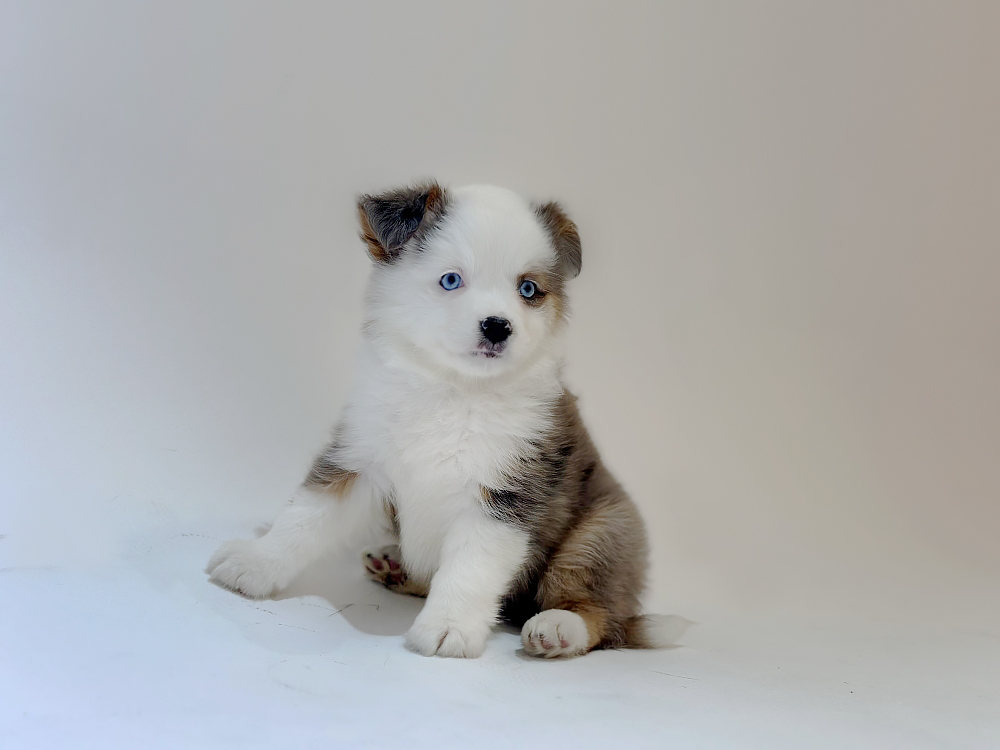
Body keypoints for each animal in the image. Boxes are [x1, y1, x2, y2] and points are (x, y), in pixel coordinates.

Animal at [208, 182, 653, 658]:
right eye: (451, 280)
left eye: (529, 289)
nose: (498, 326)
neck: (452, 389)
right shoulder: (359, 457)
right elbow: (304, 516)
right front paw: (255, 562)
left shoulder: (506, 495)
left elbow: (470, 569)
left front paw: (448, 627)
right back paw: (397, 566)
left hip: (603, 532)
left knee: (599, 610)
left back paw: (557, 628)